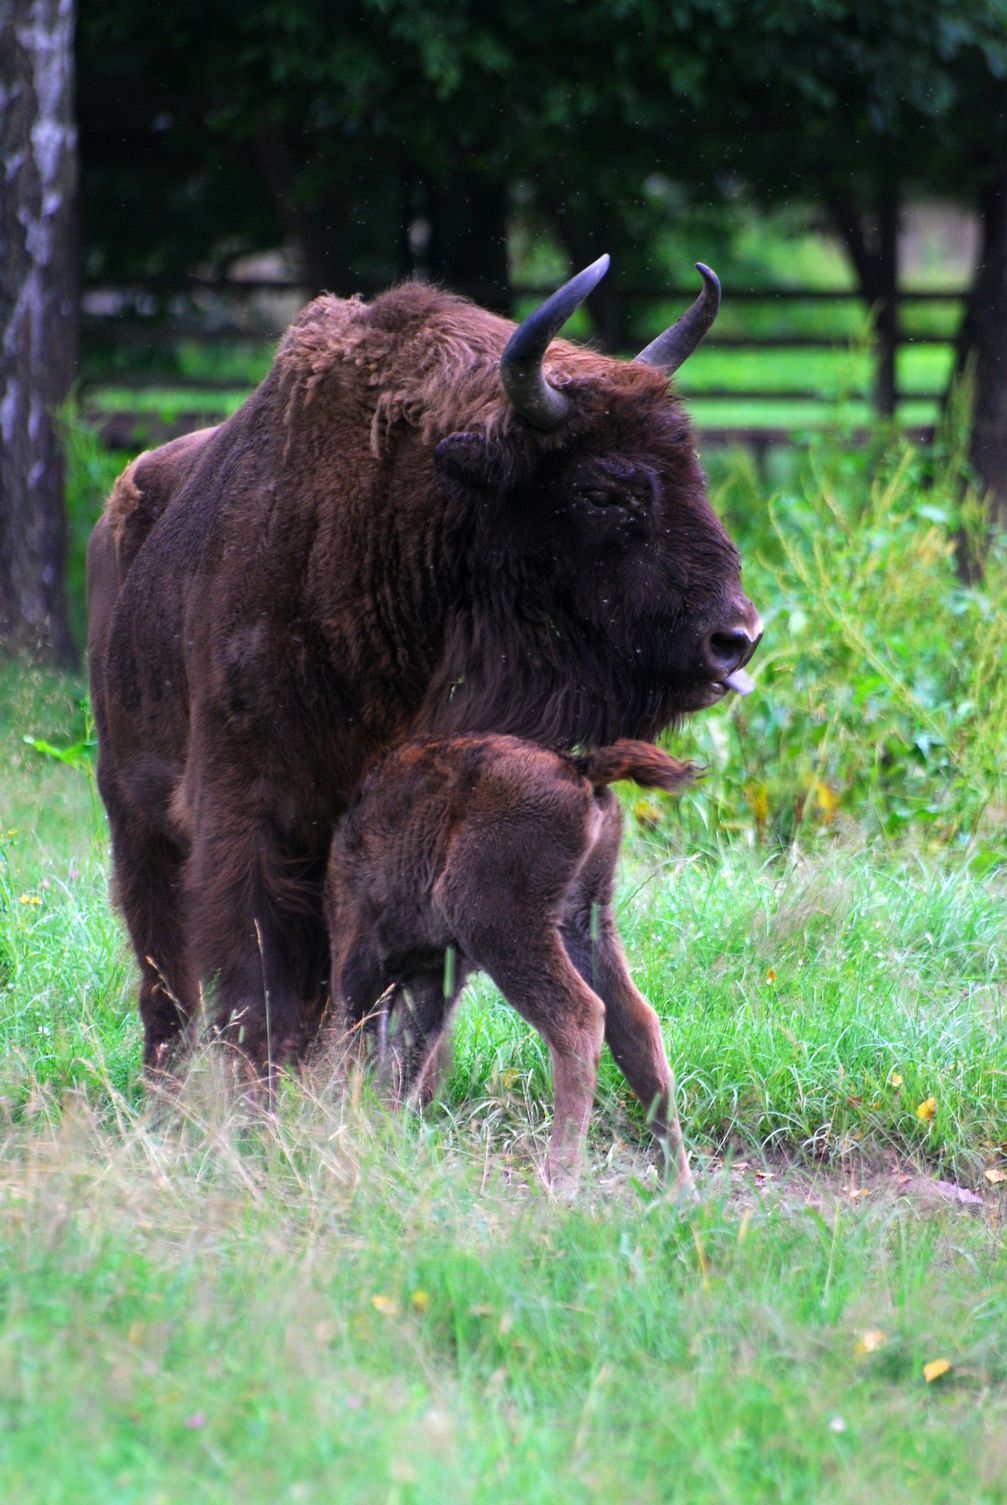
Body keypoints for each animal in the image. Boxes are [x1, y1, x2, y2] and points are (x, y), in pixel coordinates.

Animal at [88, 261, 761, 1083]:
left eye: (692, 467)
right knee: (165, 965)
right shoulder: (246, 813)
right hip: (134, 810)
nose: (735, 638)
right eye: (601, 489)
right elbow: (259, 980)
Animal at [328, 734, 698, 1191]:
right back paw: (678, 1187)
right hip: (586, 923)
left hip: (499, 926)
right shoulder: (436, 973)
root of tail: (579, 767)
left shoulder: (364, 960)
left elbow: (364, 1046)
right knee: (636, 1021)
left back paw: (559, 1182)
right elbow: (408, 1054)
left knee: (579, 1018)